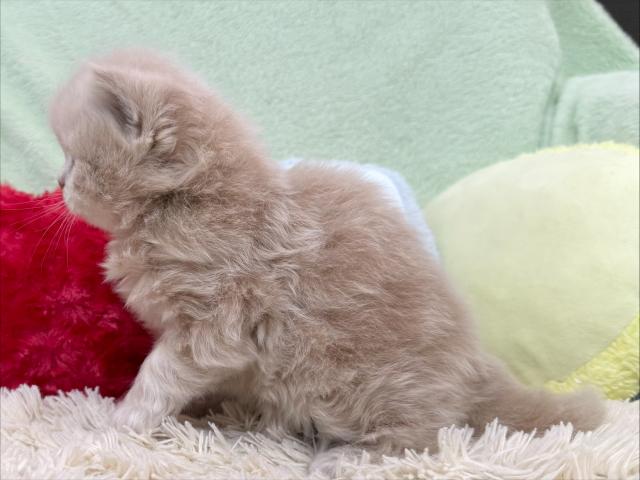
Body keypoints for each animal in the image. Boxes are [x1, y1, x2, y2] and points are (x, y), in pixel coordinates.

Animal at [50, 48, 604, 471]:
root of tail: (474, 365)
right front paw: (198, 411)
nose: (58, 182)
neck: (185, 204)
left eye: (74, 160)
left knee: (423, 439)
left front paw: (123, 420)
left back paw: (345, 458)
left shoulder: (216, 322)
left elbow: (158, 375)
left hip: (360, 388)